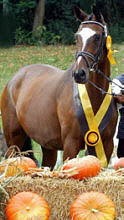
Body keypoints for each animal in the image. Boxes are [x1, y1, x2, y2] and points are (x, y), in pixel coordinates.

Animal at [0, 6, 117, 168]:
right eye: (77, 37)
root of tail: (15, 78)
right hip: (13, 141)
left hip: (48, 147)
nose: (79, 73)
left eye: (97, 37)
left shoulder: (105, 145)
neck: (93, 97)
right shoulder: (70, 144)